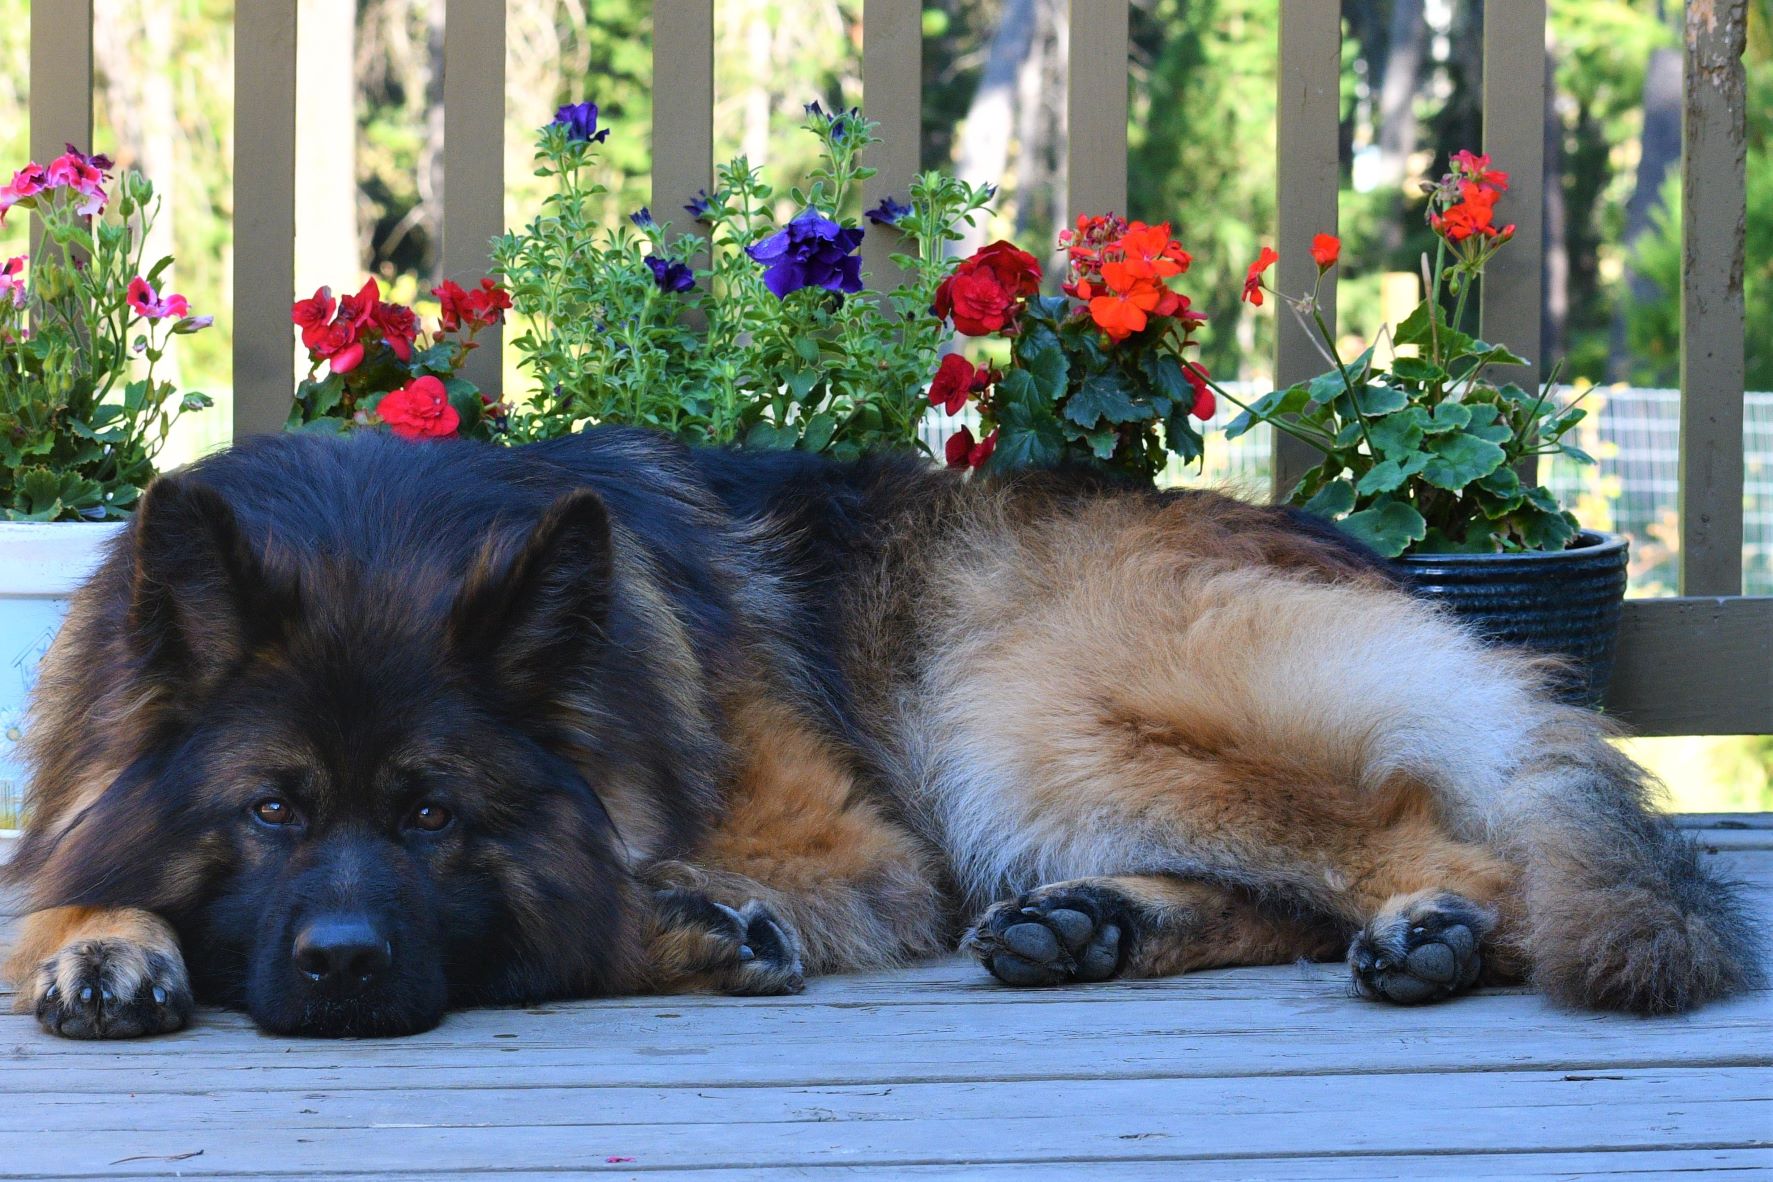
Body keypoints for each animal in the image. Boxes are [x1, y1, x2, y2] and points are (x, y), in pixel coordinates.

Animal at [3, 430, 1758, 1042]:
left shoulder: (847, 844)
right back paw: (1091, 923)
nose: (346, 973)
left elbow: (583, 906)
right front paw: (98, 936)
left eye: (436, 817)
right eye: (271, 811)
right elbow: (53, 882)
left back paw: (1433, 925)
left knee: (1446, 842)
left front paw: (687, 927)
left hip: (1011, 708)